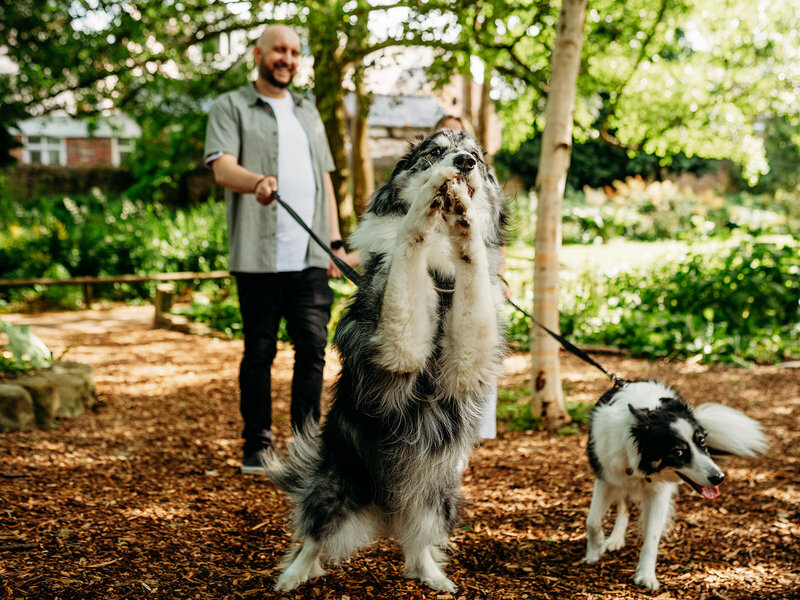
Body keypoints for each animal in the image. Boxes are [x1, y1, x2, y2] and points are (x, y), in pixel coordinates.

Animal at [266, 127, 510, 592]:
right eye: (436, 151)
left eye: (476, 155)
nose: (464, 163)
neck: (440, 266)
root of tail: (386, 508)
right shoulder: (396, 348)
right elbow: (407, 243)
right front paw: (426, 202)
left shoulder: (467, 358)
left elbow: (471, 262)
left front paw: (465, 219)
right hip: (334, 489)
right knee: (313, 538)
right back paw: (291, 577)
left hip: (437, 499)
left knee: (417, 547)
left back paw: (434, 577)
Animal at [584, 382, 764, 588]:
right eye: (678, 452)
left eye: (702, 441)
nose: (719, 478)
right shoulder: (605, 476)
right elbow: (592, 521)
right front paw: (594, 552)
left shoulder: (659, 492)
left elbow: (651, 538)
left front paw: (646, 576)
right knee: (623, 506)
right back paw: (615, 538)